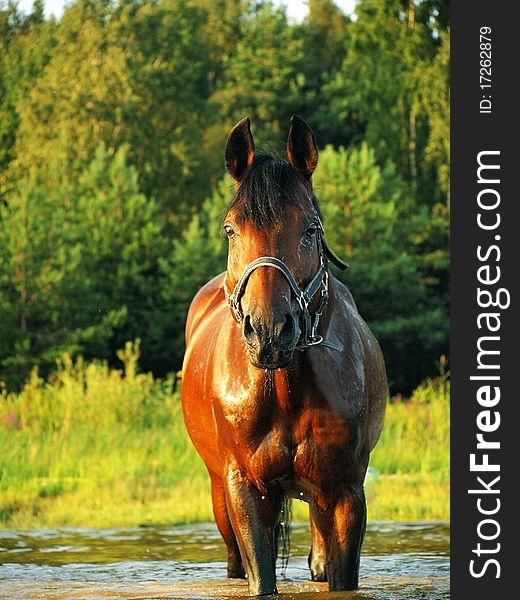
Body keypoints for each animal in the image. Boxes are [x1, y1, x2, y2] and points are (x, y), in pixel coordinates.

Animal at [181, 115, 388, 592]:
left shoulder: (346, 493)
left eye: (310, 228)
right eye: (230, 229)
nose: (270, 331)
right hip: (220, 495)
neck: (284, 390)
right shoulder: (245, 490)